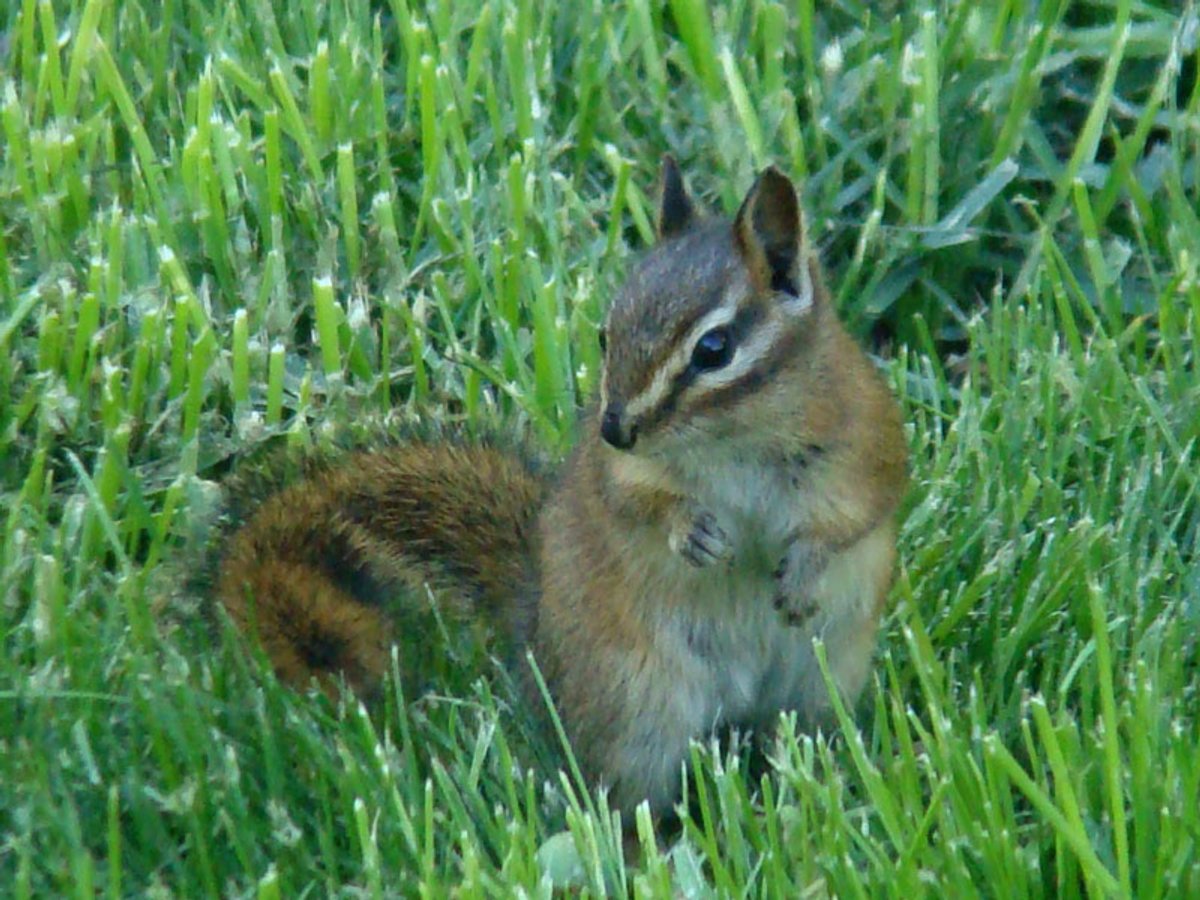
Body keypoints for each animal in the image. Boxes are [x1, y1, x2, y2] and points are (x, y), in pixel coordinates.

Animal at [210, 158, 908, 817]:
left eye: (714, 349)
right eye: (607, 331)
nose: (615, 427)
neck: (733, 439)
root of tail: (532, 628)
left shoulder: (868, 447)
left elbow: (858, 516)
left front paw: (802, 570)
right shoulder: (623, 473)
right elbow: (638, 502)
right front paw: (693, 533)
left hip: (821, 686)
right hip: (636, 710)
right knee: (625, 801)